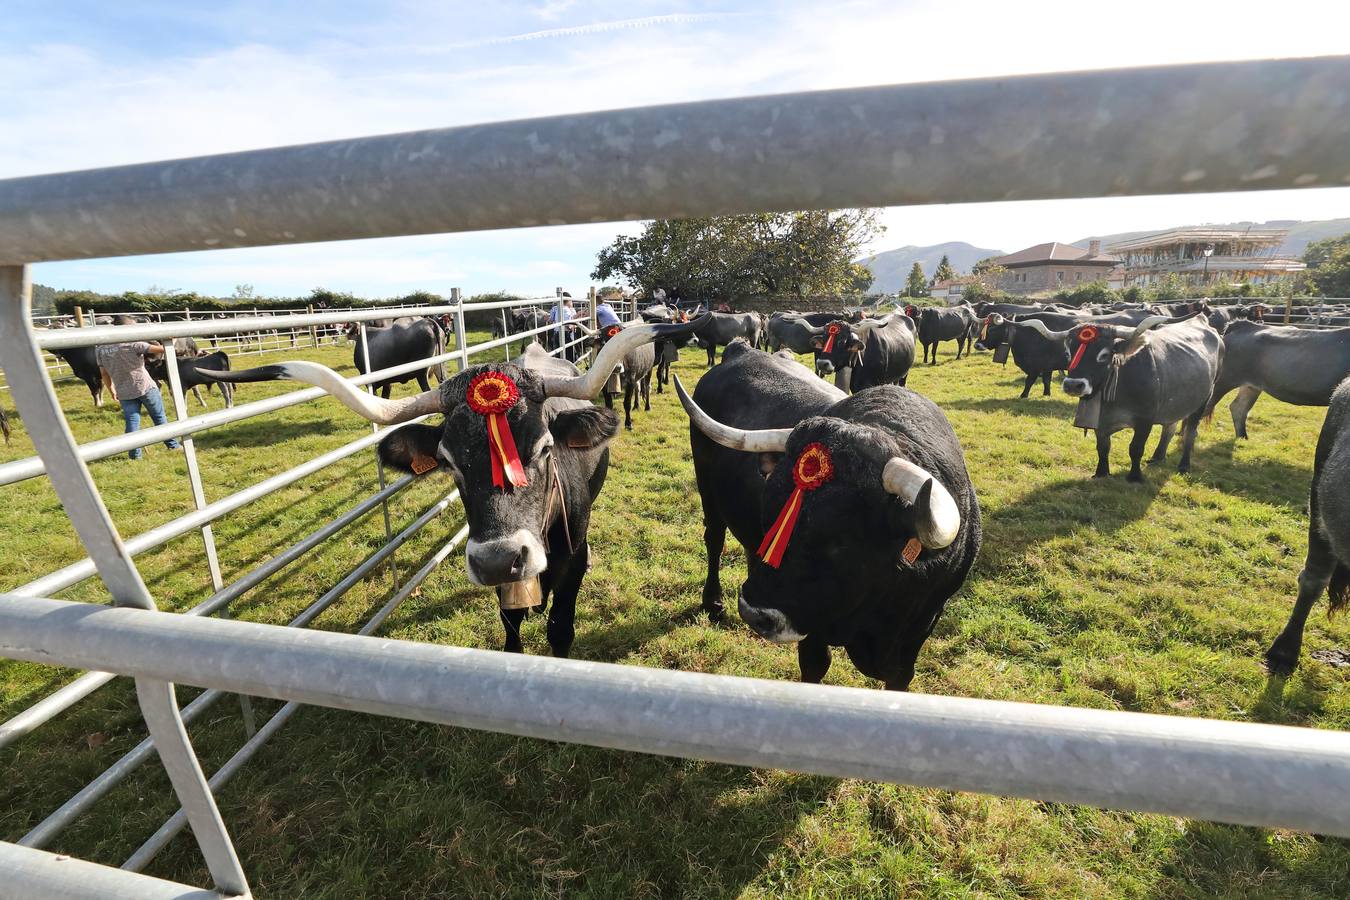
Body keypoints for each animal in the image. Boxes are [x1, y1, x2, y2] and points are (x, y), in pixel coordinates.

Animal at [202, 319, 707, 658]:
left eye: (545, 448)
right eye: (448, 463)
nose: (501, 560)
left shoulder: (576, 557)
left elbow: (561, 628)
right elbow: (511, 623)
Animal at [675, 340, 982, 690]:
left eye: (841, 542)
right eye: (772, 509)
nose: (754, 612)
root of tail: (741, 349)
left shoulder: (923, 623)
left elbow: (901, 677)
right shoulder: (815, 627)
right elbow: (815, 665)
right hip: (707, 490)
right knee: (714, 539)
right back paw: (713, 602)